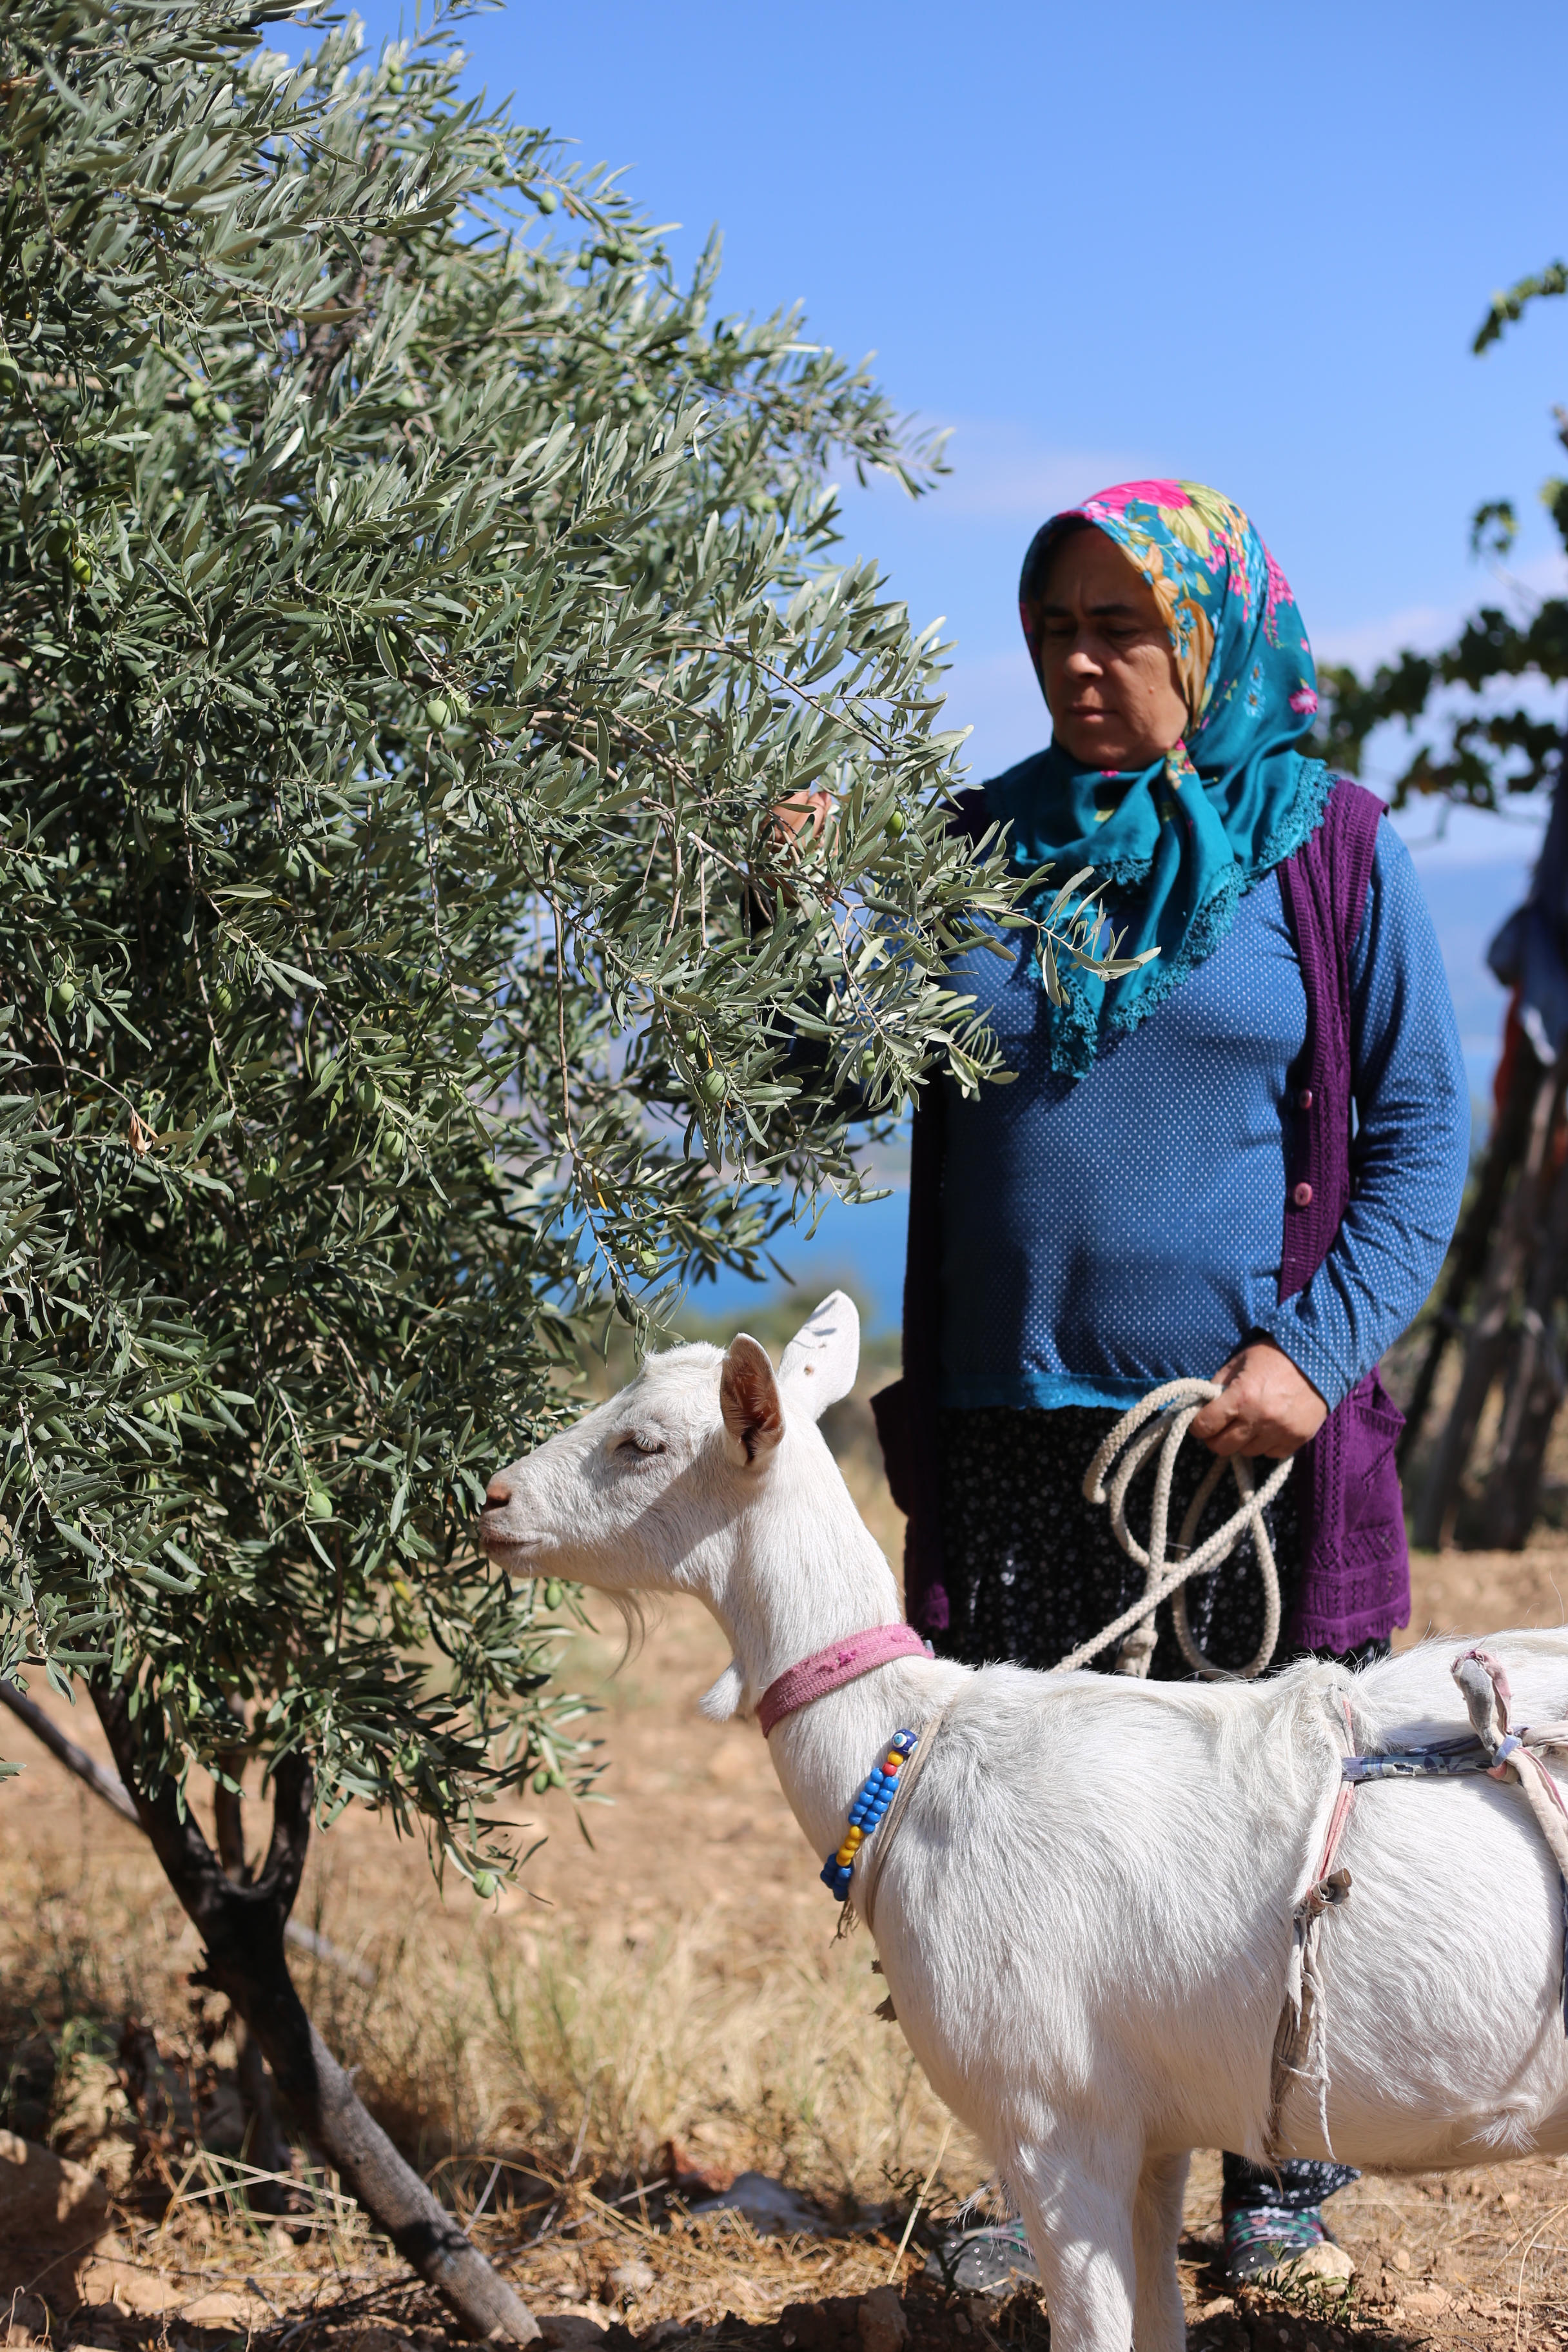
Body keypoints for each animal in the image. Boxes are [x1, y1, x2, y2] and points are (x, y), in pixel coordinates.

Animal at [475, 1298, 1568, 2352]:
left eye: (643, 1444)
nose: (492, 1499)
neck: (912, 1746)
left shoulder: (1054, 2116)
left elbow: (1092, 2332)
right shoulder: (1152, 2132)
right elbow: (1157, 2326)